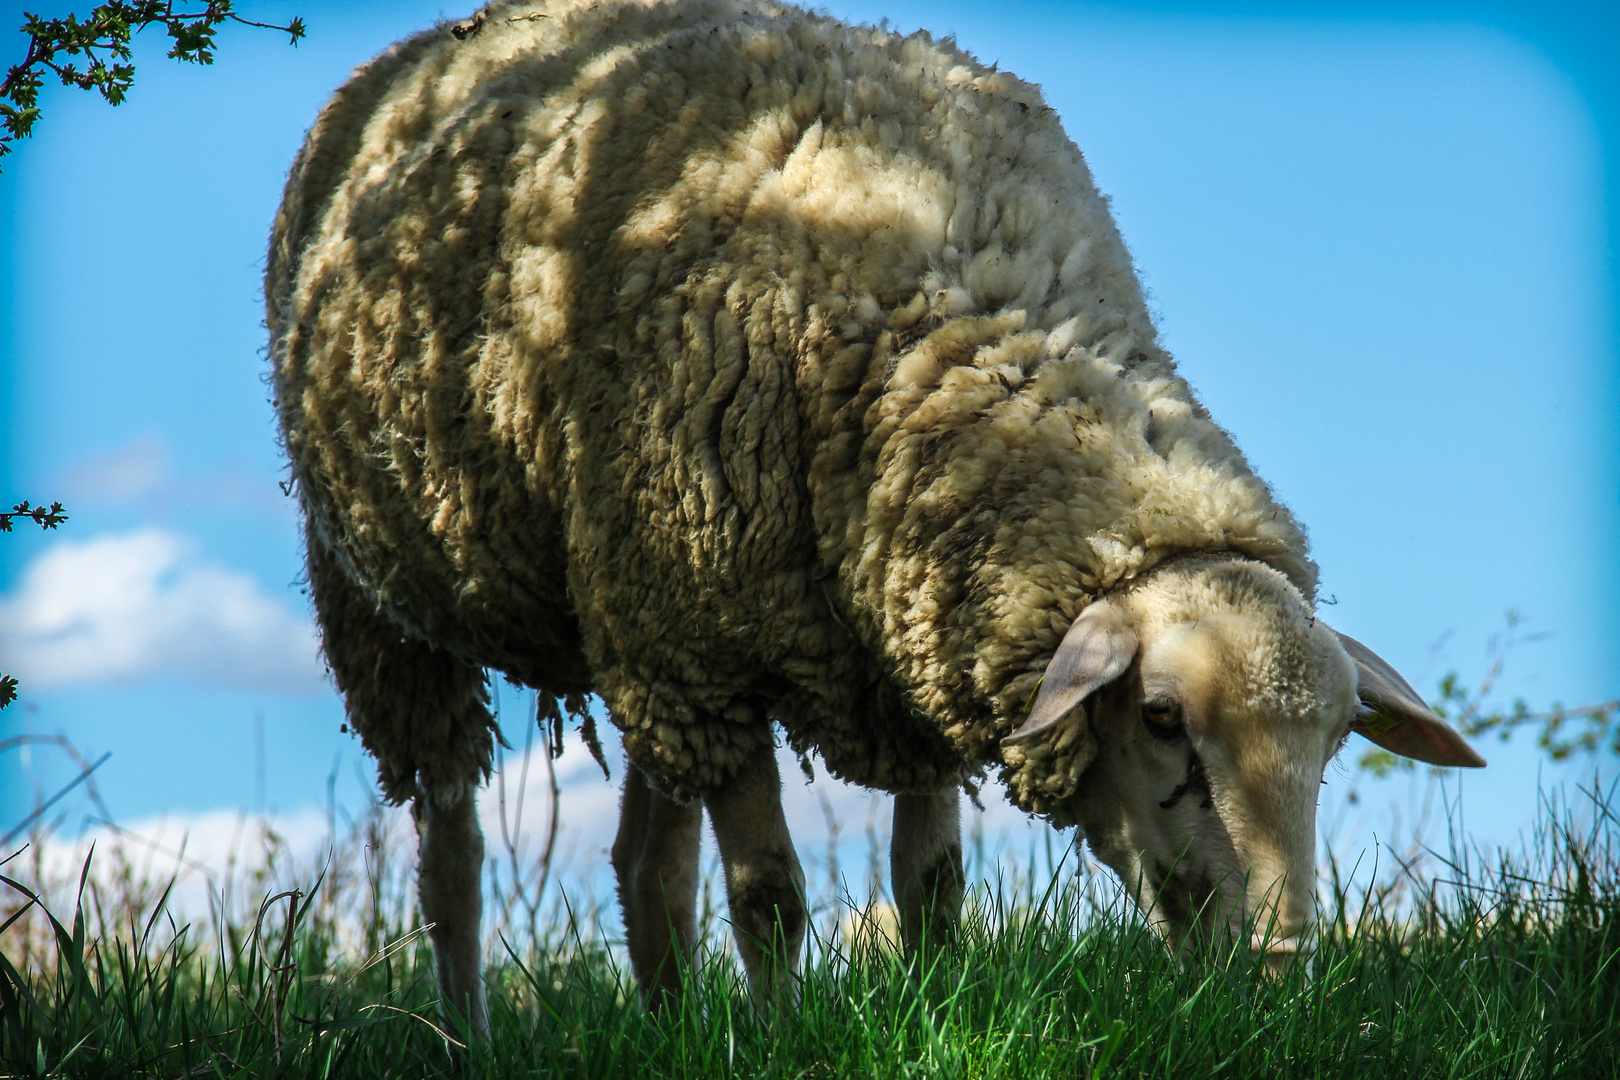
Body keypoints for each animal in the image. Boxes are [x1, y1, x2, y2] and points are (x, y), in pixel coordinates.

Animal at [262, 0, 1483, 1029]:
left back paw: (668, 1024)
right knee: (452, 852)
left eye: (1335, 741)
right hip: (396, 601)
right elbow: (768, 894)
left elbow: (932, 883)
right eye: (1162, 717)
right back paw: (464, 1030)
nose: (1276, 967)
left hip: (631, 612)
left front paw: (934, 1013)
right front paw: (782, 1038)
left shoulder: (912, 625)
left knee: (646, 862)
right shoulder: (719, 647)